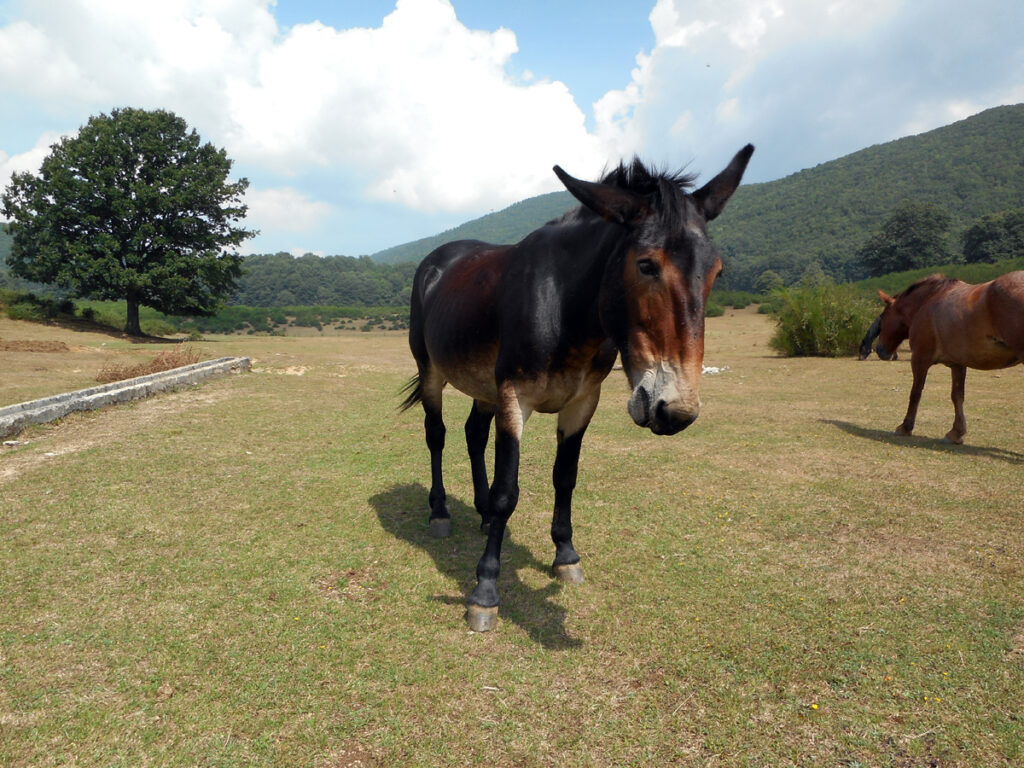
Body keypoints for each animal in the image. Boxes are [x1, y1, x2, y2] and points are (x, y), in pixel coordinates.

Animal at [399, 145, 753, 630]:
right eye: (646, 265)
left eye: (716, 271)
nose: (675, 410)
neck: (563, 308)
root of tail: (440, 257)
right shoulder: (514, 397)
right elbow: (509, 491)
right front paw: (485, 589)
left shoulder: (583, 401)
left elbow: (565, 478)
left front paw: (565, 555)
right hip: (432, 369)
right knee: (437, 435)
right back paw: (440, 512)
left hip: (483, 385)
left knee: (474, 435)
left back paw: (483, 513)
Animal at [872, 274, 1024, 444]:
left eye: (883, 317)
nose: (879, 349)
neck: (928, 300)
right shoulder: (958, 364)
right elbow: (957, 396)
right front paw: (956, 433)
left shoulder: (920, 359)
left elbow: (915, 393)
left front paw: (905, 427)